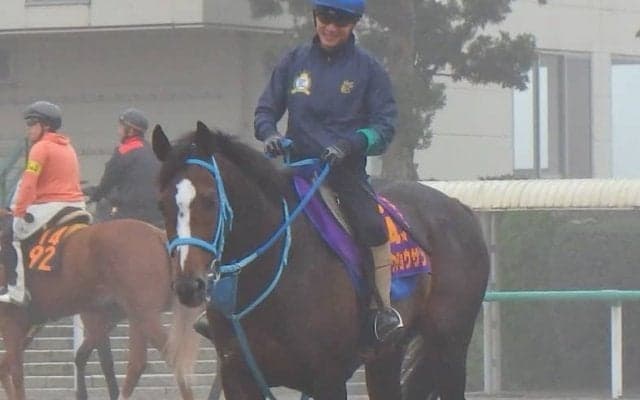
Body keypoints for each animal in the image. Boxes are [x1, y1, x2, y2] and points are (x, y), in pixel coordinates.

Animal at [0, 212, 202, 400]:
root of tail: (157, 234)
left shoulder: (12, 321)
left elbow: (16, 371)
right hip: (136, 314)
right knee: (138, 362)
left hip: (144, 315)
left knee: (169, 357)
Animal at [152, 121, 490, 400]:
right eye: (162, 204)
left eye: (210, 200)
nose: (189, 285)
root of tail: (460, 208)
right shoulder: (238, 378)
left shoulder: (328, 378)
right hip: (387, 356)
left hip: (450, 346)